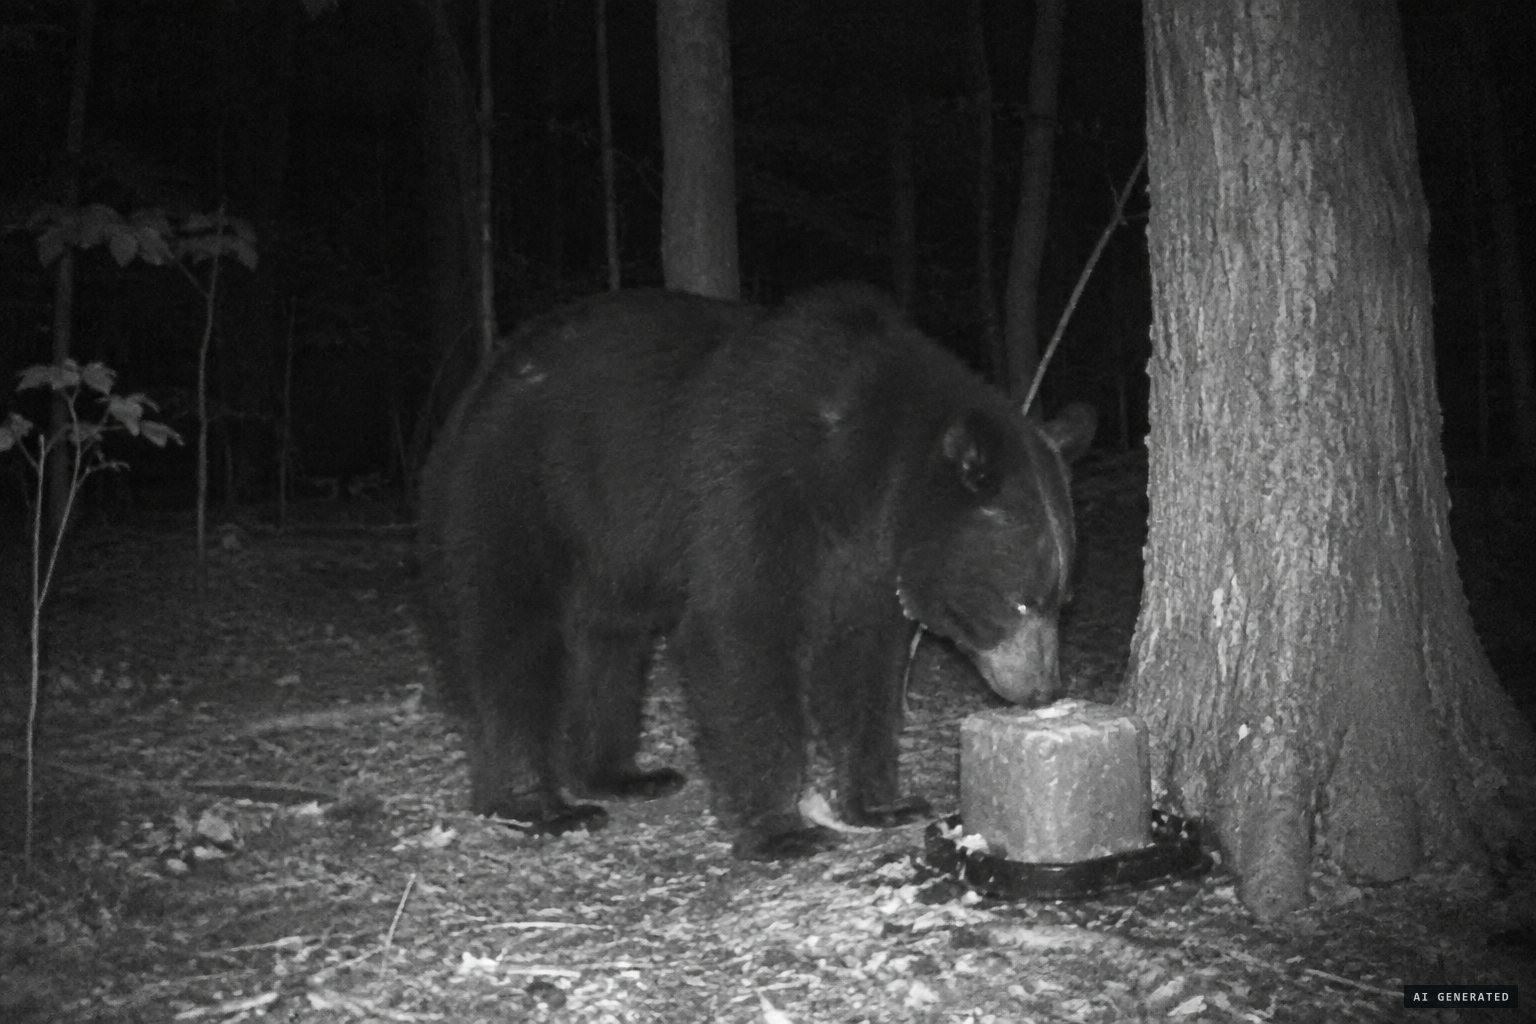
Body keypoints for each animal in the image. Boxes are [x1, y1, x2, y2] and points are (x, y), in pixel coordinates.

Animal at [417, 284, 1095, 859]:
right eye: (1021, 600)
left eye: (1062, 600)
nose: (1045, 689)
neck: (852, 467)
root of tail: (480, 385)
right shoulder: (749, 483)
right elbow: (739, 628)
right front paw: (781, 830)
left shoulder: (865, 560)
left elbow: (864, 660)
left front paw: (882, 802)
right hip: (520, 495)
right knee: (512, 641)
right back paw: (539, 803)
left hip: (609, 551)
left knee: (609, 651)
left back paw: (622, 775)